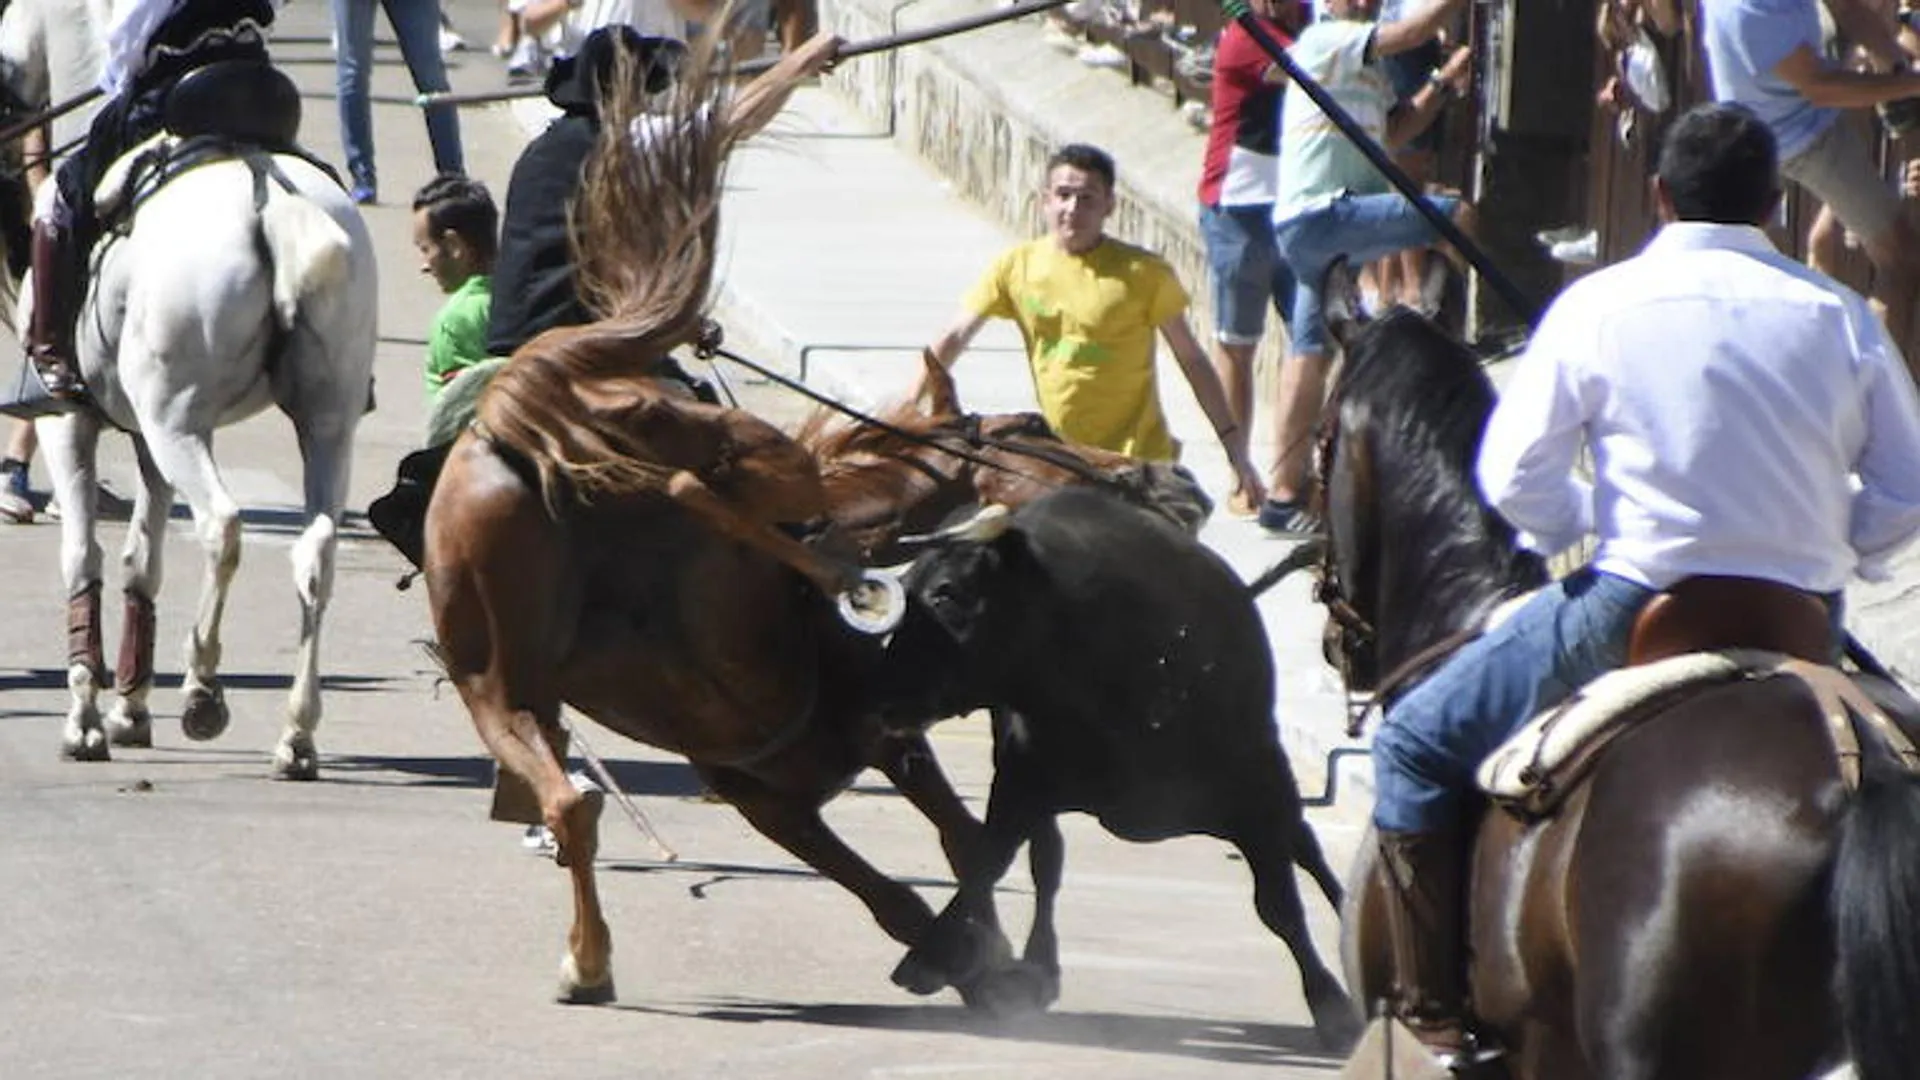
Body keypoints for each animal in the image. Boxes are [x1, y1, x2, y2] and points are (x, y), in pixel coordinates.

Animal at [0, 0, 378, 772]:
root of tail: (272, 198)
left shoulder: (70, 425)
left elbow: (84, 558)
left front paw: (87, 720)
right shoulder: (148, 442)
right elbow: (142, 562)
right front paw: (129, 710)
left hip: (179, 425)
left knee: (223, 526)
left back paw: (204, 688)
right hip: (324, 424)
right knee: (316, 551)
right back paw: (296, 733)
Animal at [422, 39, 1198, 999]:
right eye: (1034, 426)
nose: (1174, 481)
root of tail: (518, 406)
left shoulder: (806, 775)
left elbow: (942, 859)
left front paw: (976, 957)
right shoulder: (814, 770)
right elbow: (936, 869)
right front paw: (979, 964)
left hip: (499, 684)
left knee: (570, 799)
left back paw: (588, 959)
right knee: (703, 496)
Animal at [871, 488, 1367, 1045]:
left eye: (947, 594)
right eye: (905, 589)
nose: (879, 694)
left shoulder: (1259, 791)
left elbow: (1279, 904)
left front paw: (1332, 1006)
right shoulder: (1021, 782)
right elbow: (988, 863)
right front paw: (931, 957)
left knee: (1307, 849)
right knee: (1047, 862)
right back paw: (1040, 966)